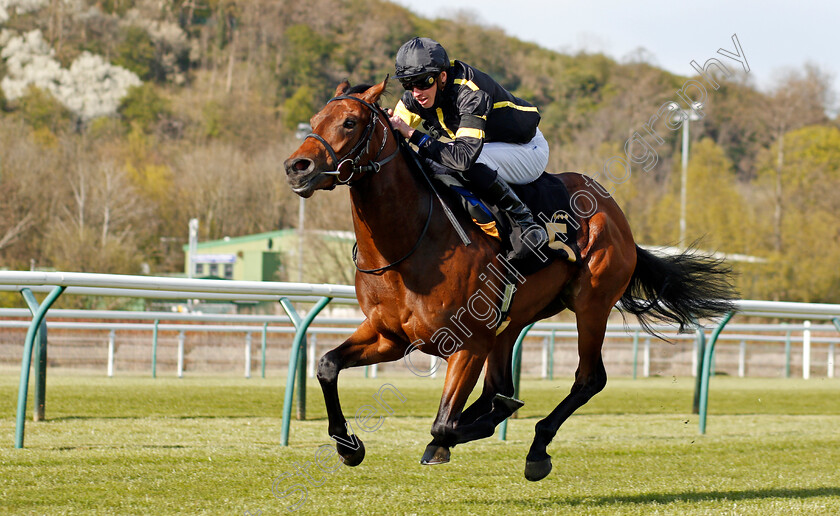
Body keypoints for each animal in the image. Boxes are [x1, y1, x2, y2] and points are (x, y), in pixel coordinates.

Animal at [284, 78, 736, 482]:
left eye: (350, 122)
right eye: (315, 118)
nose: (296, 167)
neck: (410, 242)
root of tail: (616, 215)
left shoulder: (467, 343)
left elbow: (443, 424)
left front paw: (454, 436)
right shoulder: (390, 335)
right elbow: (327, 365)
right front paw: (348, 446)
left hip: (591, 305)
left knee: (588, 379)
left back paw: (536, 447)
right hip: (512, 321)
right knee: (498, 386)